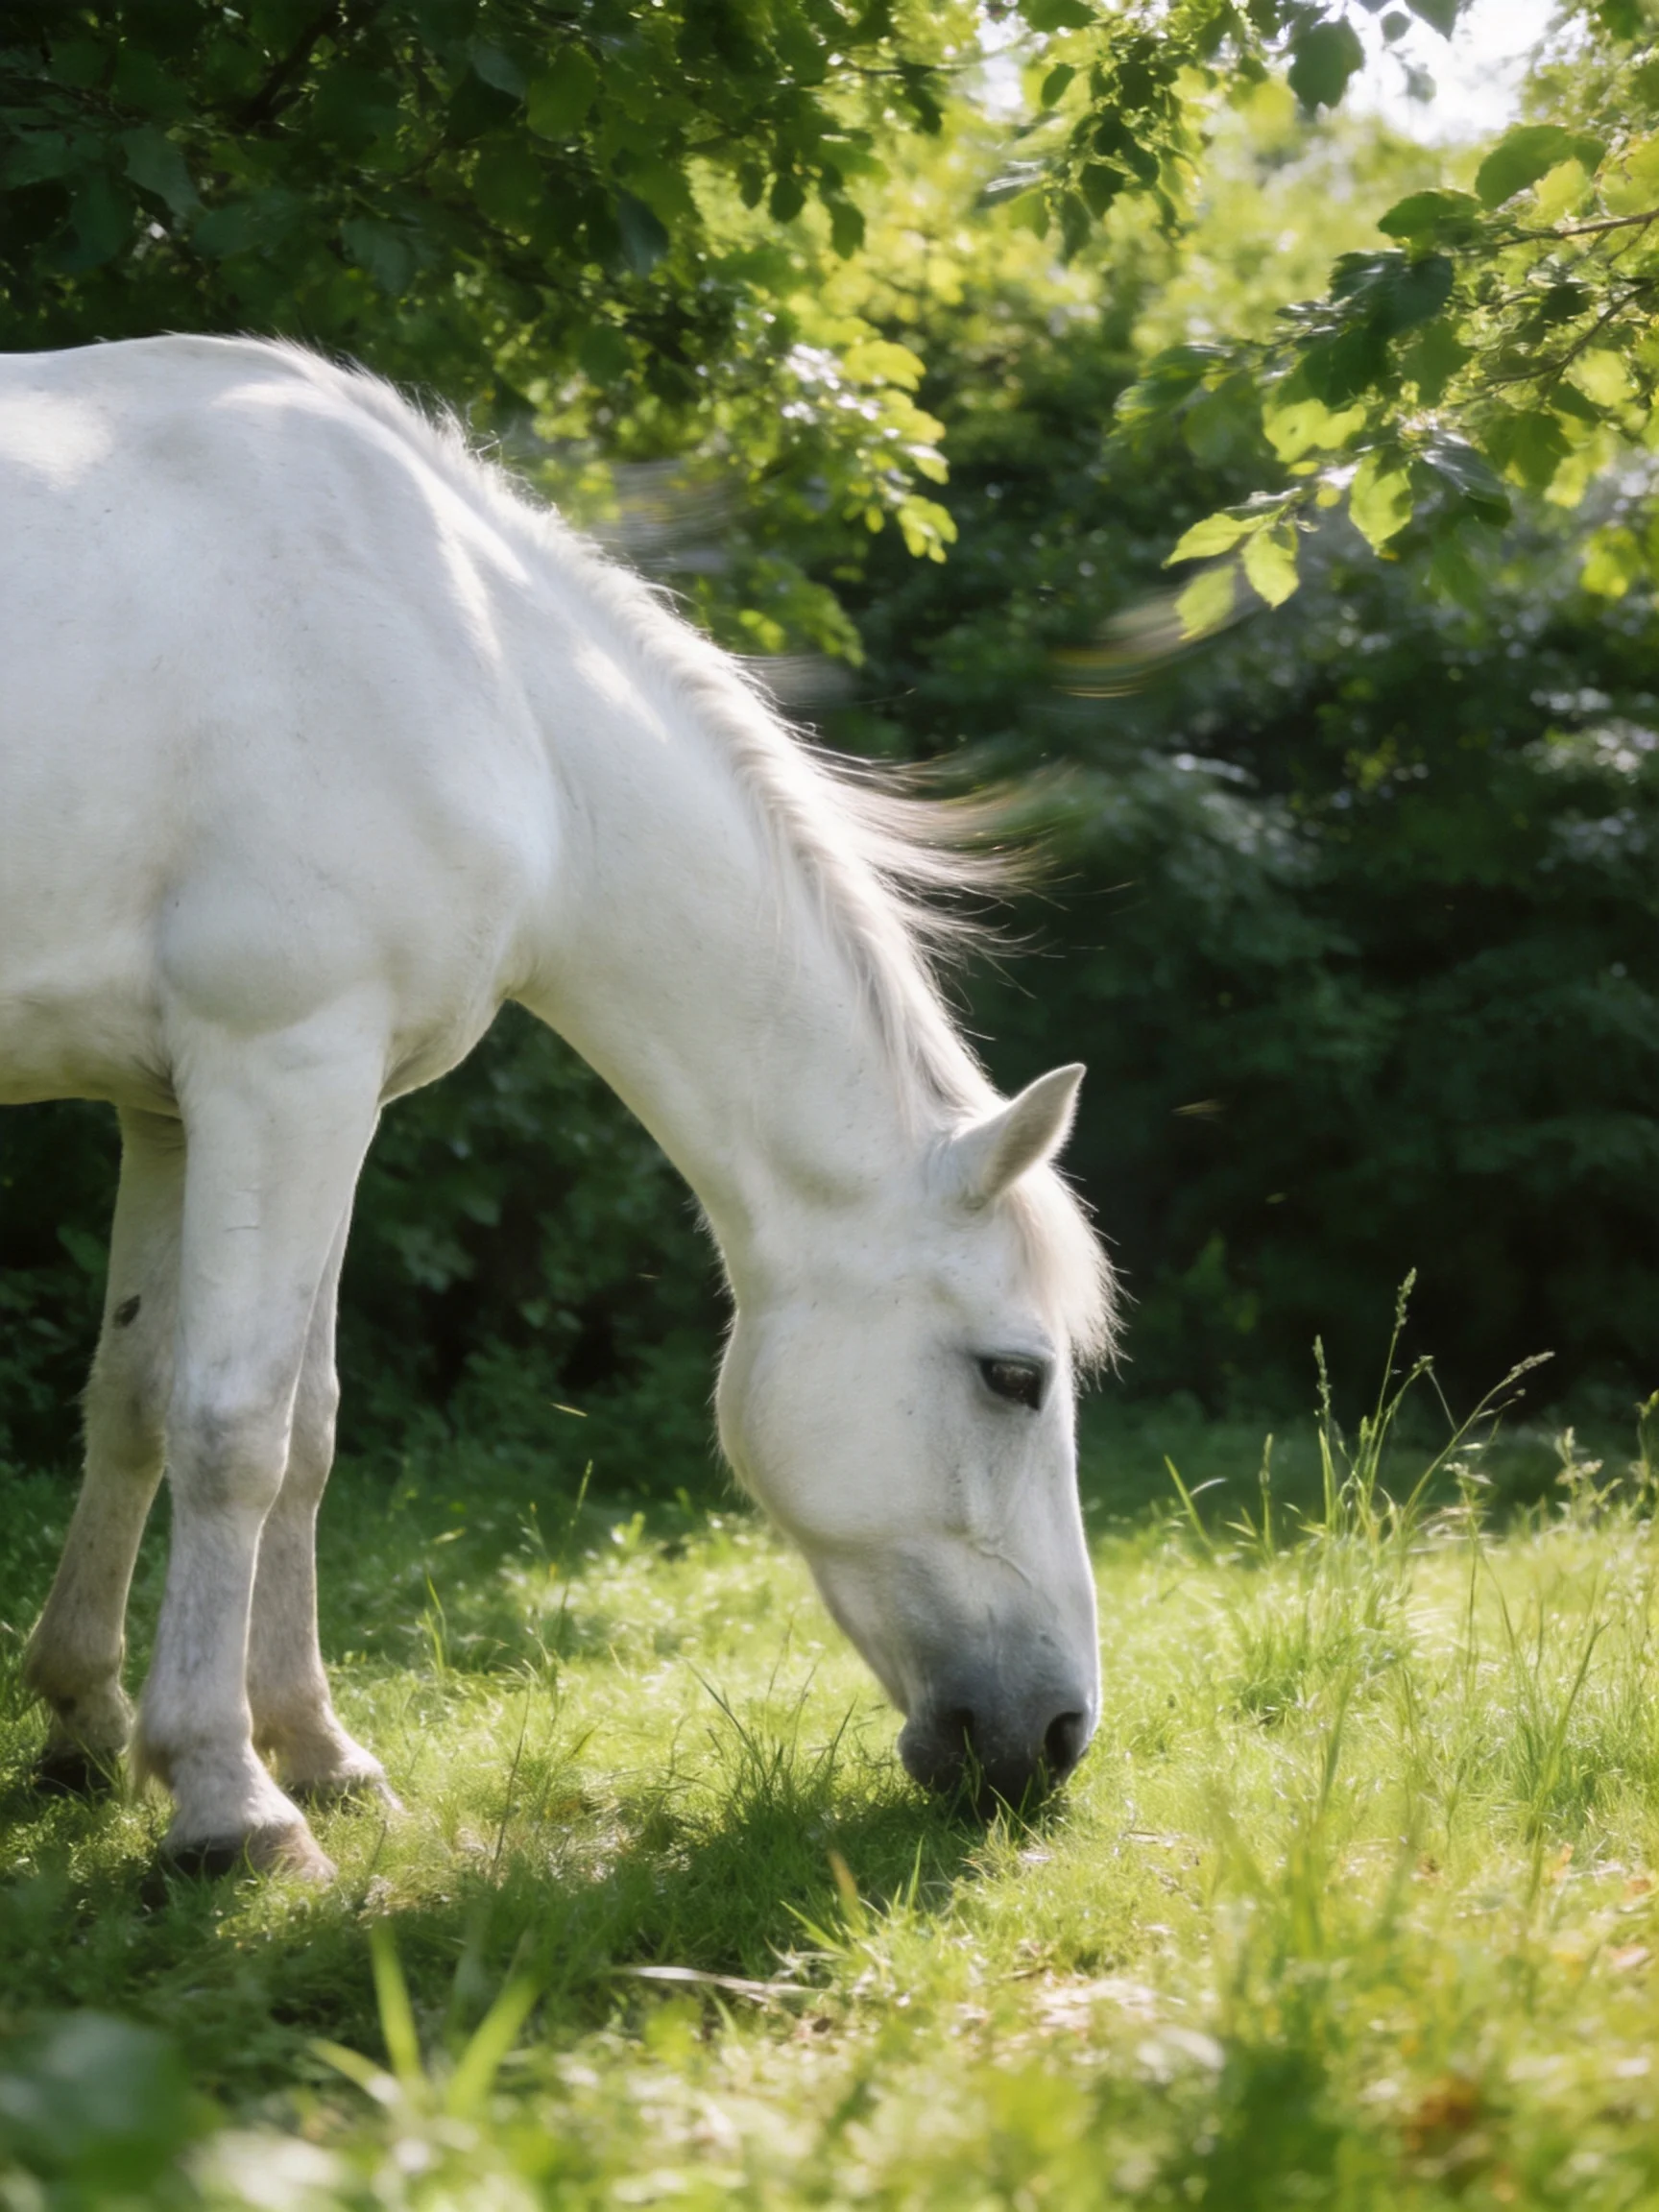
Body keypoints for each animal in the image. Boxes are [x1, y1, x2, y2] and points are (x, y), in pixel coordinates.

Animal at [0, 336, 1114, 1880]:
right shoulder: (286, 1072)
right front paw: (231, 1802)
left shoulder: (184, 1106)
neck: (479, 676)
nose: (1058, 1736)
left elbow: (187, 1408)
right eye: (1016, 1377)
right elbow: (238, 1431)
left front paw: (199, 1737)